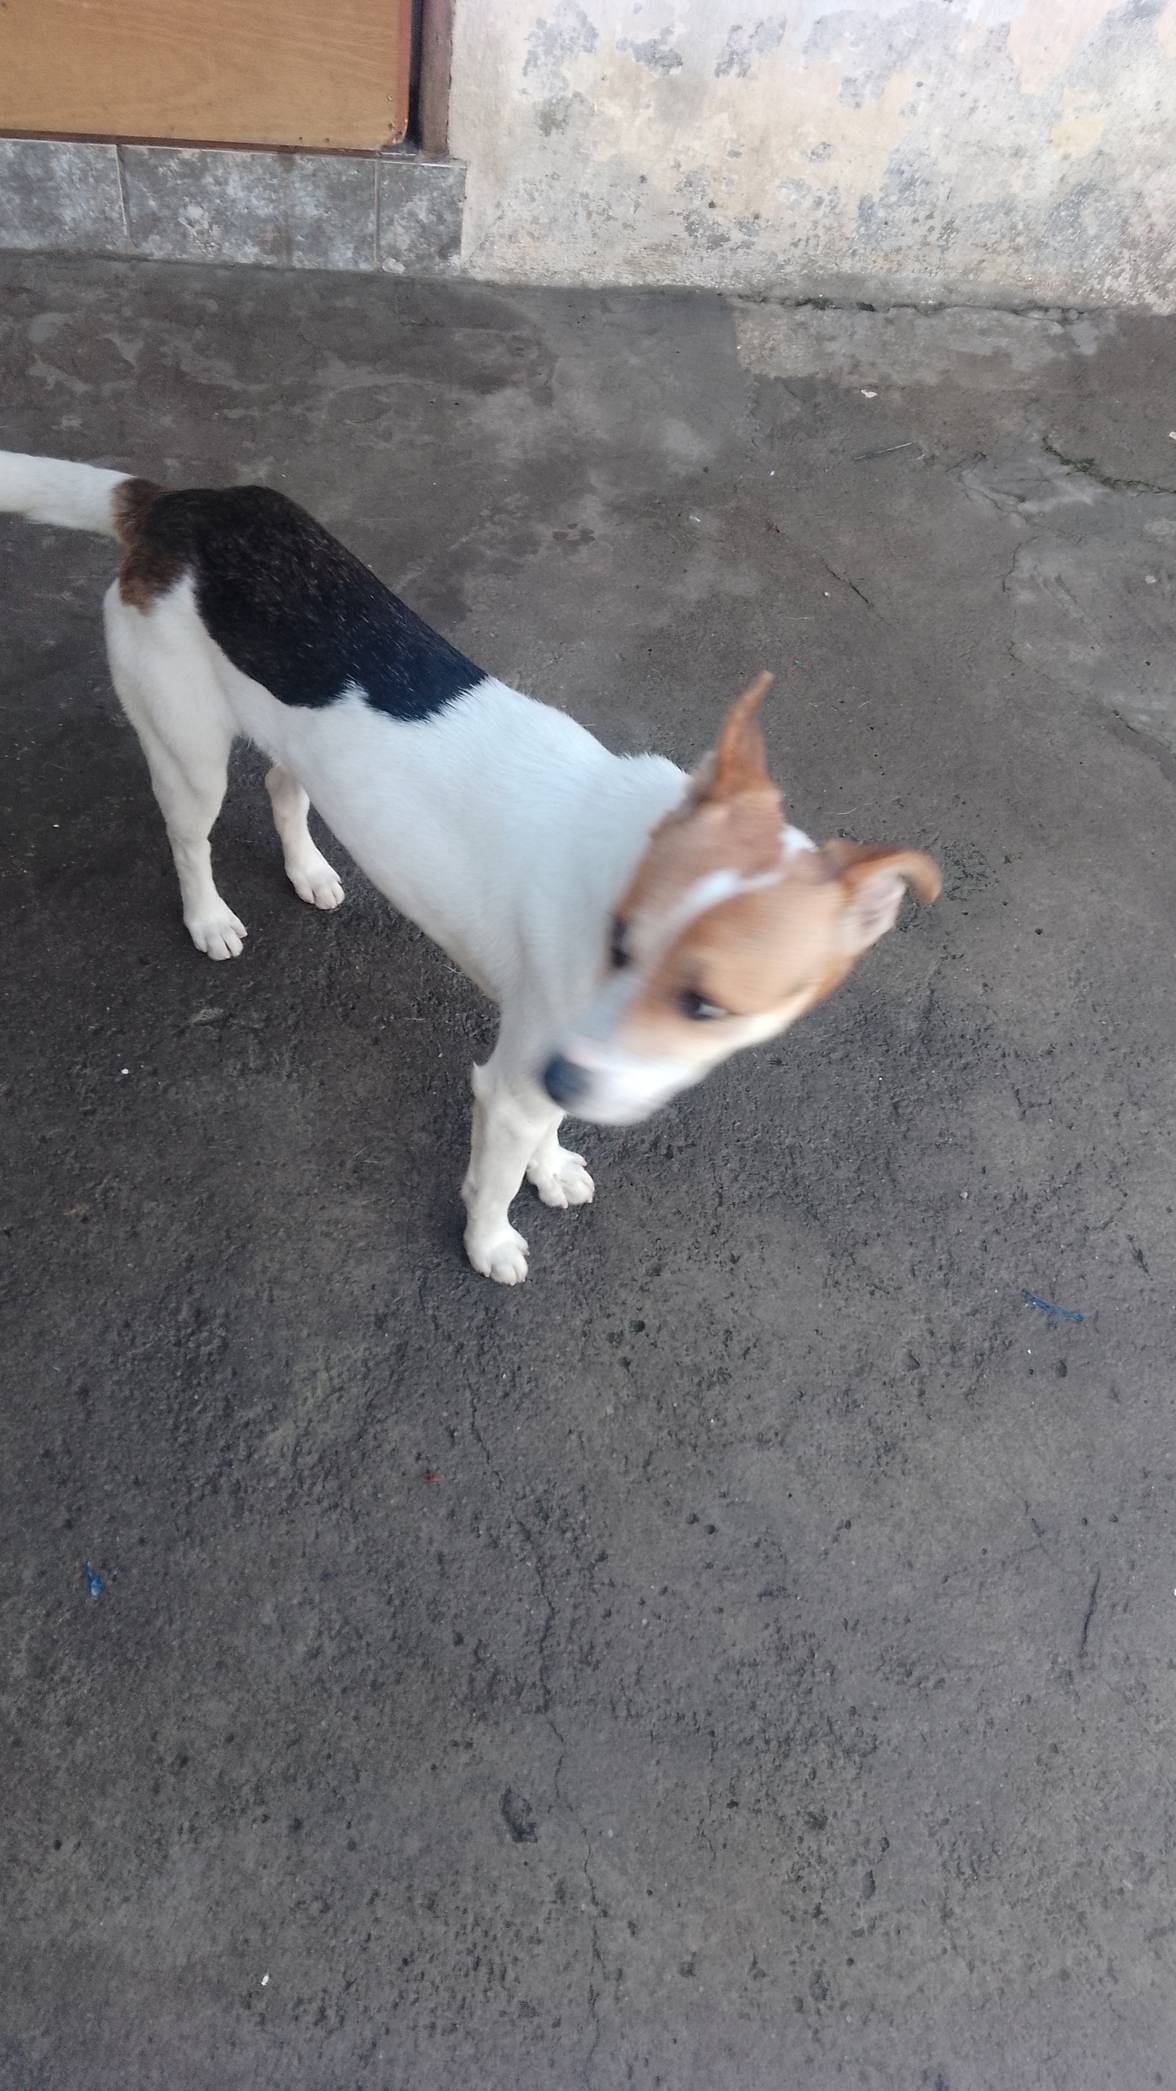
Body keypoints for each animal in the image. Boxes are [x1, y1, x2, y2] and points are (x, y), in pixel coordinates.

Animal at [0, 452, 941, 1283]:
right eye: (620, 944)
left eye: (706, 1004)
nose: (562, 1072)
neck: (625, 853)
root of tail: (175, 505)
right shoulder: (515, 1081)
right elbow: (495, 1174)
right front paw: (491, 1242)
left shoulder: (559, 1054)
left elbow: (551, 1130)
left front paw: (552, 1167)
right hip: (188, 754)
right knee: (189, 838)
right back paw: (209, 919)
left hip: (292, 740)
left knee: (280, 787)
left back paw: (309, 870)